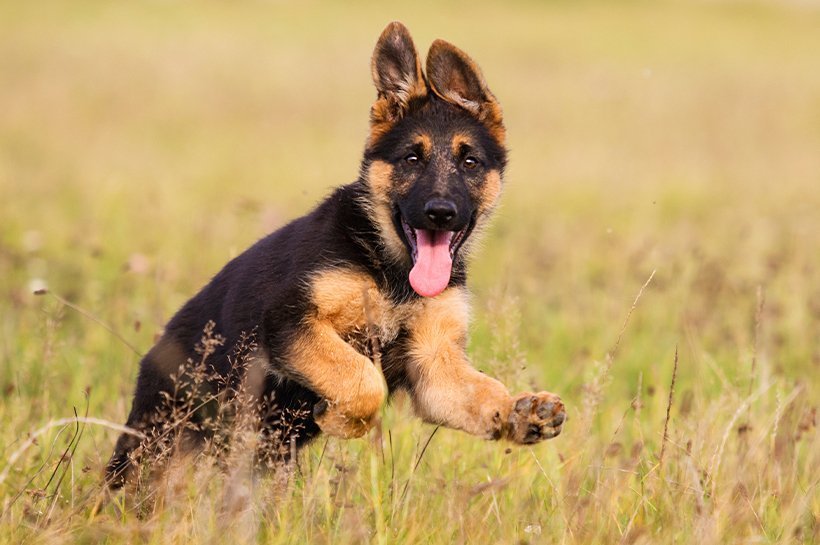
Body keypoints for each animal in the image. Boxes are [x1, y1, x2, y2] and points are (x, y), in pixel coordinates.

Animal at [107, 22, 564, 488]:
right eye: (411, 158)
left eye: (469, 162)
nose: (440, 212)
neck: (391, 271)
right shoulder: (289, 321)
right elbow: (363, 380)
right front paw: (340, 420)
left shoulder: (434, 366)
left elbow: (482, 391)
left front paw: (520, 412)